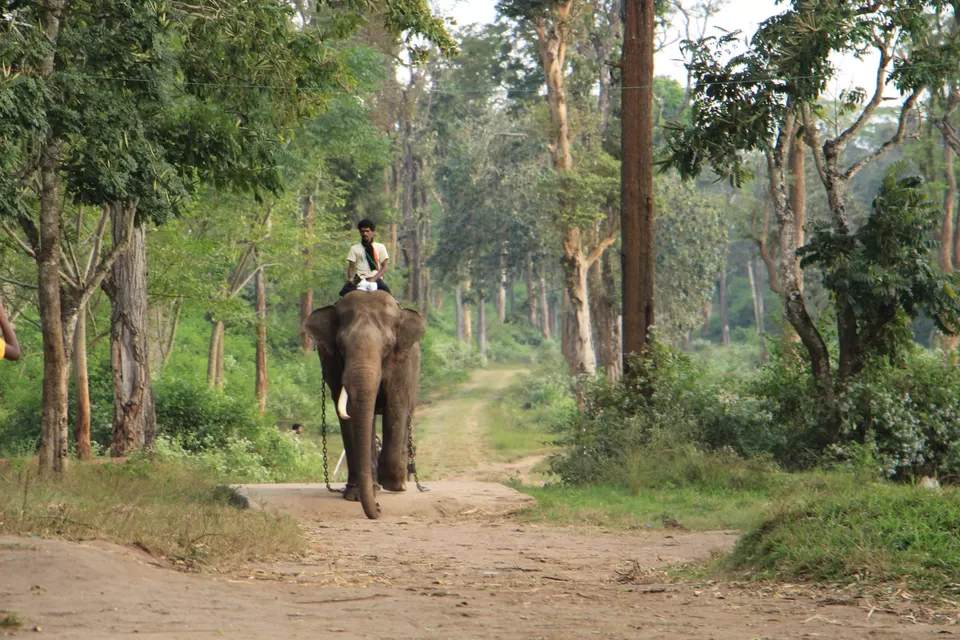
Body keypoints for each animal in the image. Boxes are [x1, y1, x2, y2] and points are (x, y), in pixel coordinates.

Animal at [302, 290, 426, 519]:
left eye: (388, 346)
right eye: (341, 346)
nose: (378, 508)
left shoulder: (402, 365)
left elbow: (396, 407)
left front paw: (390, 483)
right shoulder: (332, 363)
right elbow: (350, 416)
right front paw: (356, 495)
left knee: (406, 416)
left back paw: (398, 484)